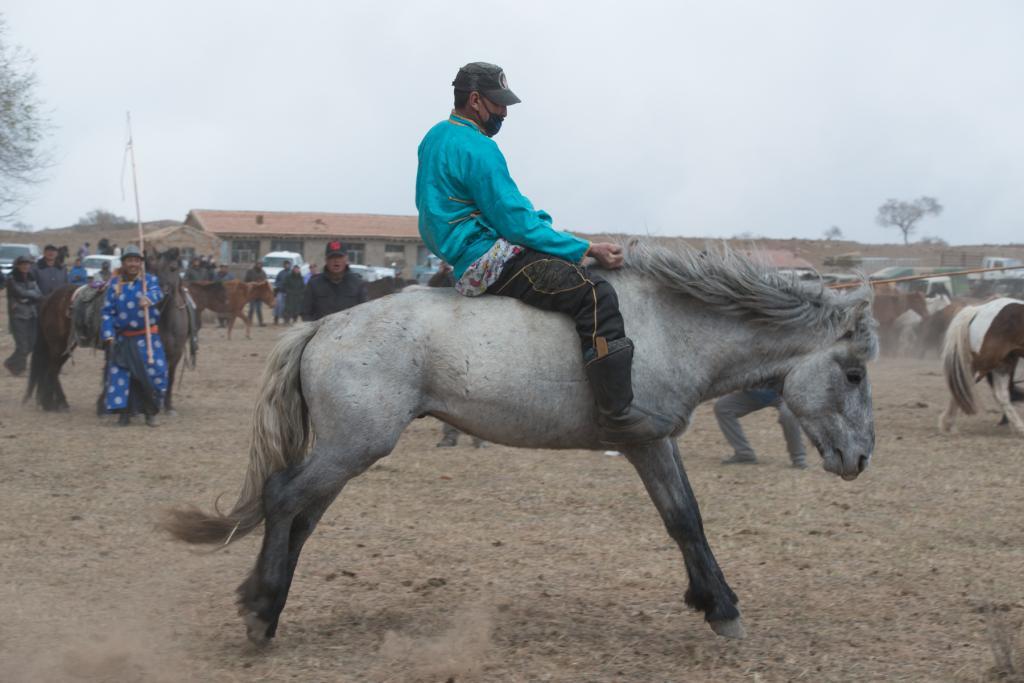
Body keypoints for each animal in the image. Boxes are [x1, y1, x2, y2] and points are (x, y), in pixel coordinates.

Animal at [163, 241, 876, 647]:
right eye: (853, 374)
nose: (862, 458)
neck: (671, 325)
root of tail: (324, 324)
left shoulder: (659, 445)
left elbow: (687, 518)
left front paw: (713, 602)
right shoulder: (645, 443)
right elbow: (683, 520)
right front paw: (722, 607)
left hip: (345, 452)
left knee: (299, 517)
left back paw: (268, 601)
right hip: (352, 448)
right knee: (283, 497)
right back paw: (260, 611)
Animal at [937, 296, 1024, 436]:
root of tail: (978, 310)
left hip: (1003, 363)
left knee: (1002, 395)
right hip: (986, 361)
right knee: (963, 382)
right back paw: (949, 424)